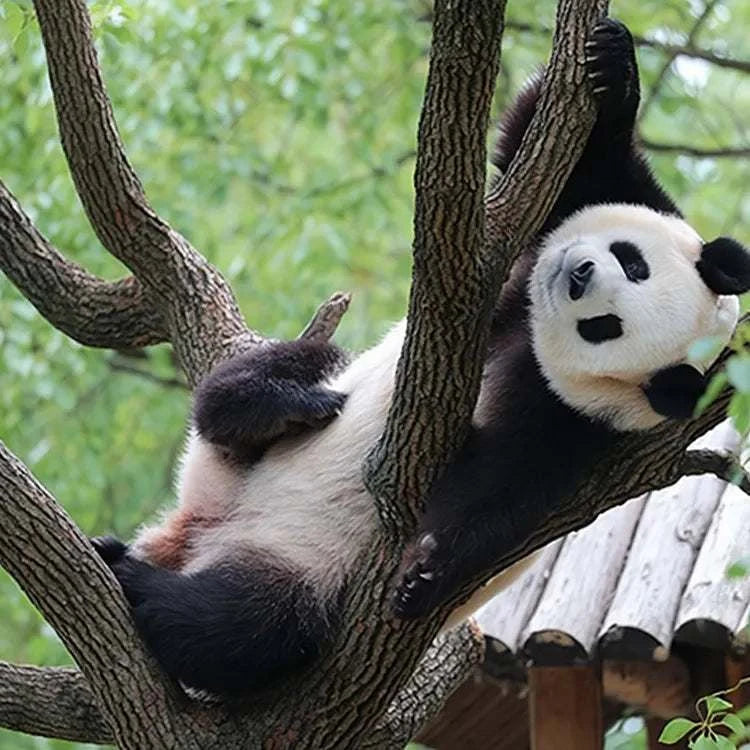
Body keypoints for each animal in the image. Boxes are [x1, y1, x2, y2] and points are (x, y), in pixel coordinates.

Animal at [93, 19, 750, 697]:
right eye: (632, 260)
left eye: (605, 327)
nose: (577, 275)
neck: (531, 335)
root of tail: (199, 530)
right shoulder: (523, 258)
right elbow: (559, 161)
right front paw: (612, 65)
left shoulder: (576, 430)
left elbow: (505, 499)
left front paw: (423, 570)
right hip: (251, 446)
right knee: (271, 378)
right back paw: (281, 406)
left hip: (300, 574)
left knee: (244, 626)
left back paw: (136, 579)